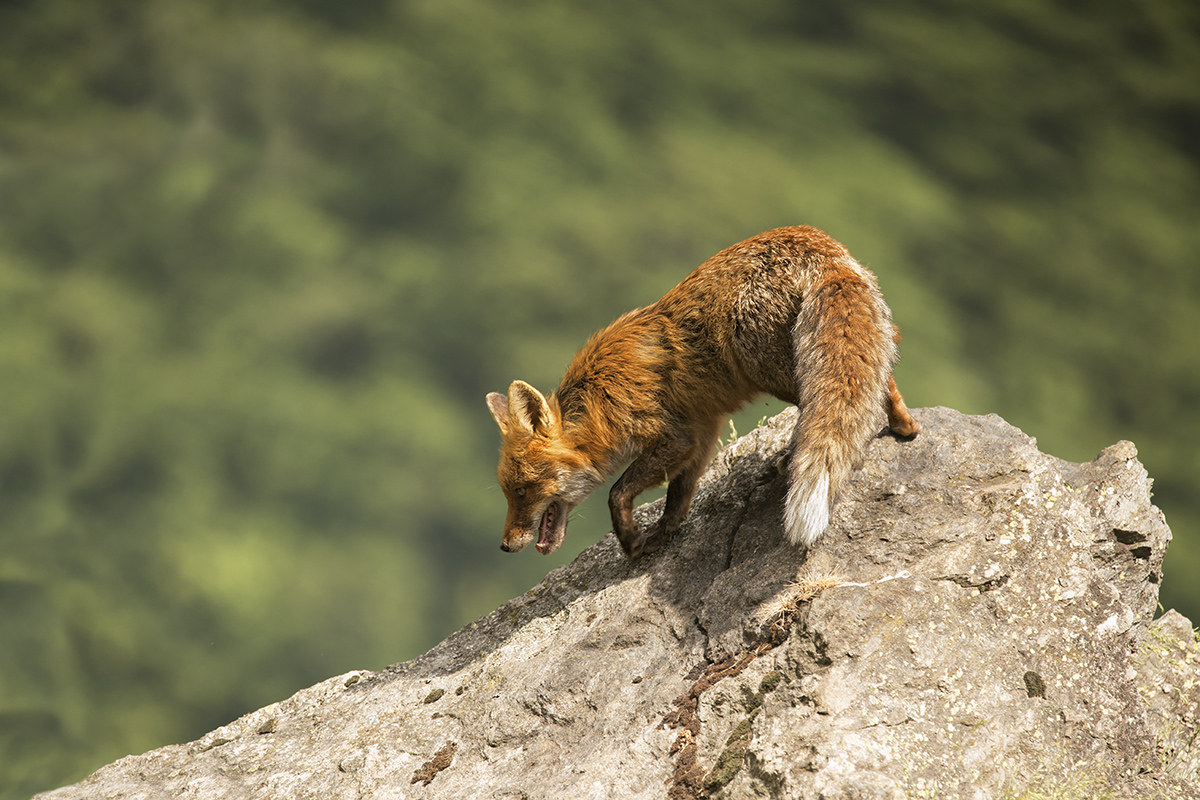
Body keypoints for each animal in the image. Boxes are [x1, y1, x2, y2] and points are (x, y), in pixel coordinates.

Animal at [486, 225, 920, 559]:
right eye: (507, 492)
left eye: (522, 491)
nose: (505, 545)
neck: (599, 400)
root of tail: (817, 244)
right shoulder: (703, 429)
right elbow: (679, 495)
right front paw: (663, 534)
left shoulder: (674, 436)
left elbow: (617, 492)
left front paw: (631, 541)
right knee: (881, 371)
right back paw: (905, 427)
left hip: (772, 366)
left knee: (828, 404)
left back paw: (792, 455)